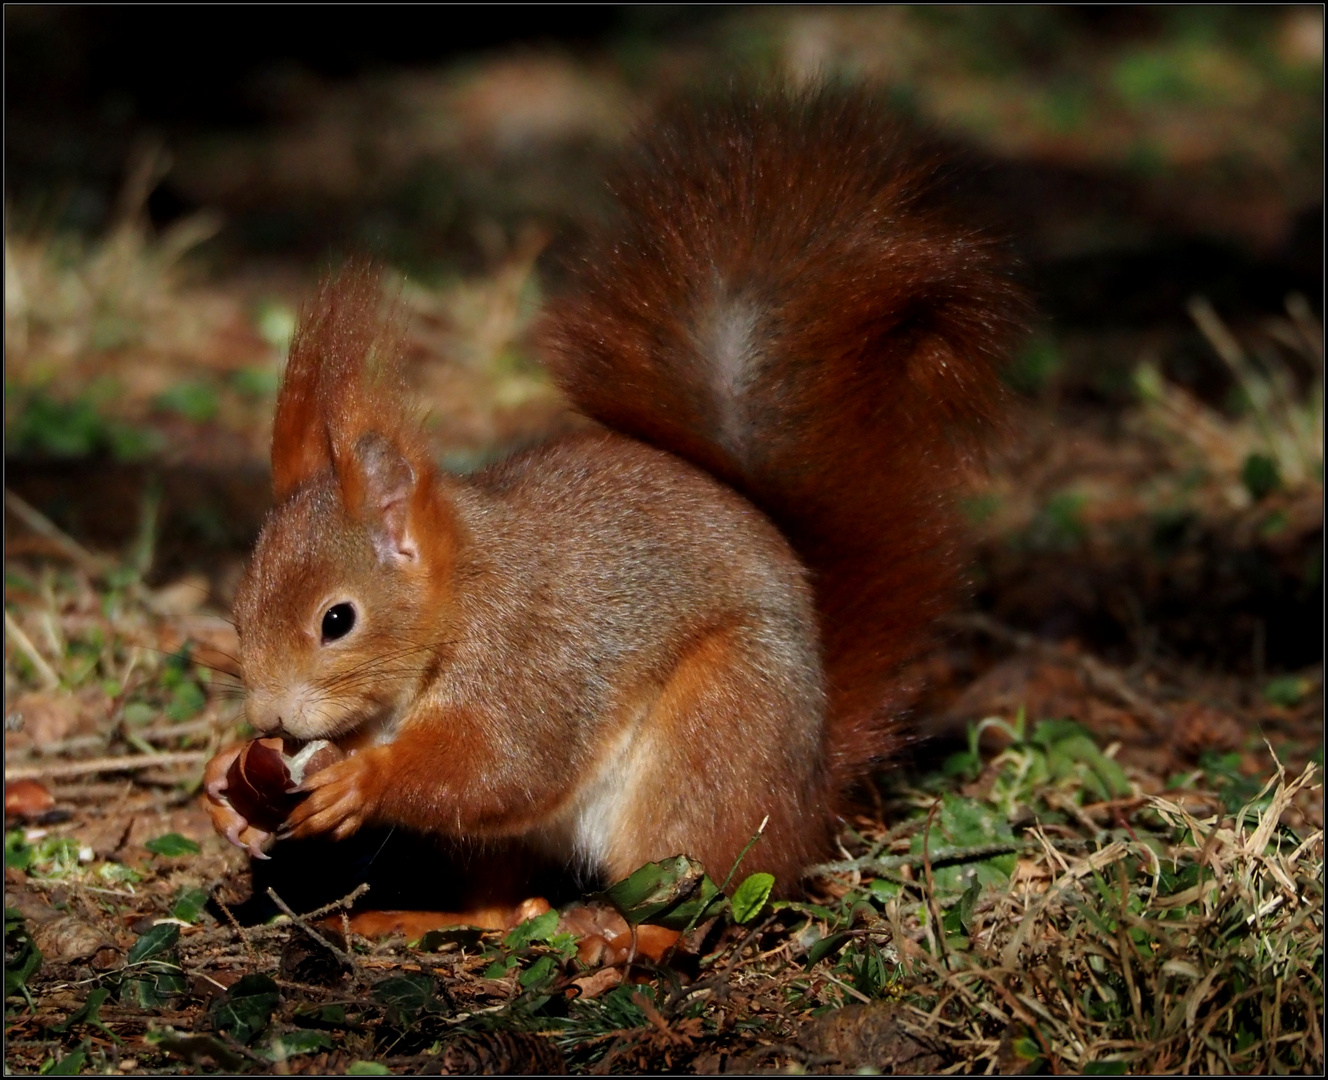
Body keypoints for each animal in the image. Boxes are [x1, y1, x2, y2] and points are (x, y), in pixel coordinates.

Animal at [201, 82, 1025, 892]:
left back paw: (620, 924)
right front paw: (226, 784)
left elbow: (503, 763)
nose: (269, 716)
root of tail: (811, 786)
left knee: (700, 873)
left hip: (721, 727)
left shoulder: (530, 655)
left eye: (337, 620)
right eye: (237, 613)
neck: (462, 596)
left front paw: (362, 780)